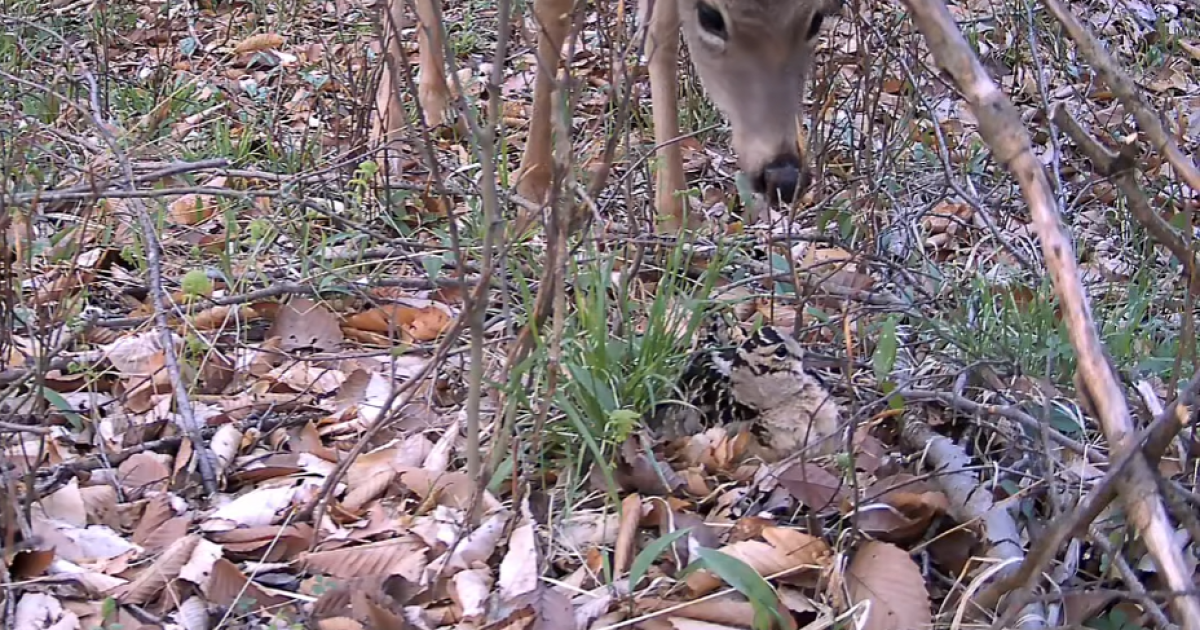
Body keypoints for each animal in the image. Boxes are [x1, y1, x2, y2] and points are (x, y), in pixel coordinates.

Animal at [374, 0, 836, 227]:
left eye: (817, 17)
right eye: (710, 16)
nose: (783, 176)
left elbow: (660, 30)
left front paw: (674, 215)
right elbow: (554, 13)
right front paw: (532, 187)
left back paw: (434, 99)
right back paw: (389, 126)